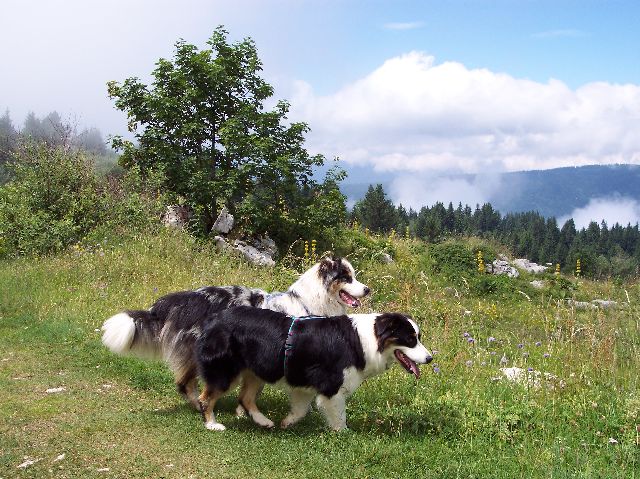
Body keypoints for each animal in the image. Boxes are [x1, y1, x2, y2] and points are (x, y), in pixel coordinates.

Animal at [100, 256, 370, 410]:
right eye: (347, 277)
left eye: (354, 276)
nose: (367, 289)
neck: (308, 302)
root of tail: (186, 299)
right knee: (185, 383)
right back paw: (201, 407)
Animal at [198, 310, 432, 434]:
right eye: (411, 339)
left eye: (418, 337)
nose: (430, 358)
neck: (366, 341)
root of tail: (215, 318)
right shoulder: (332, 385)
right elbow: (339, 415)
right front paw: (344, 434)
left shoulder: (304, 383)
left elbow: (301, 409)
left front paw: (287, 422)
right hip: (226, 372)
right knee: (205, 398)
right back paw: (212, 424)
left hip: (256, 370)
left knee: (245, 398)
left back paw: (264, 421)